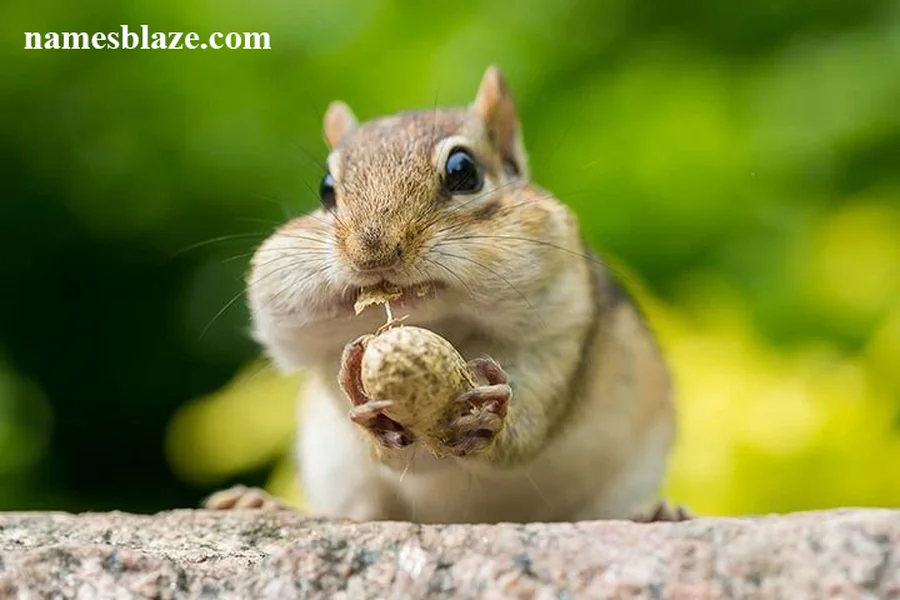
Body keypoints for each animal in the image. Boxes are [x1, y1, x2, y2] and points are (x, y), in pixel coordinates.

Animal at [204, 65, 690, 524]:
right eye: (326, 188)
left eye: (463, 171)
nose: (372, 250)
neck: (445, 323)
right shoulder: (324, 361)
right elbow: (407, 454)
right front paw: (371, 412)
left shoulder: (562, 332)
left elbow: (527, 428)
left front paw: (493, 418)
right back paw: (262, 503)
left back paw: (657, 512)